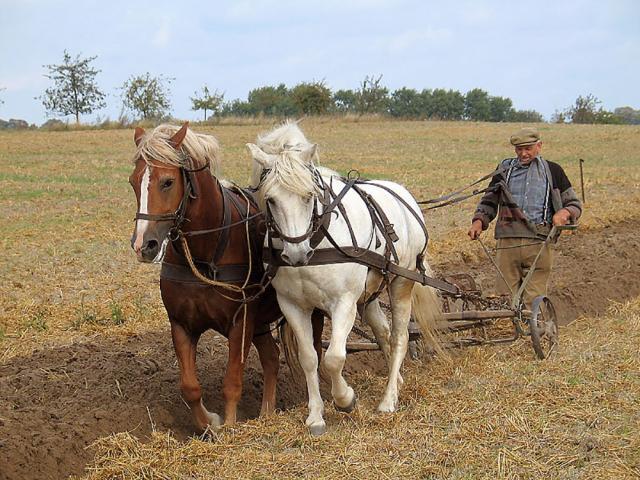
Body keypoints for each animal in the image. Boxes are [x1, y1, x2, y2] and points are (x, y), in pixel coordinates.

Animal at [127, 124, 320, 432]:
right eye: (134, 181)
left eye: (167, 182)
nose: (143, 245)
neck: (205, 254)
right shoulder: (181, 324)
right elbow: (189, 387)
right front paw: (210, 423)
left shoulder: (241, 322)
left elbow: (232, 381)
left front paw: (229, 427)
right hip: (261, 322)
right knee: (271, 357)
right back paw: (266, 413)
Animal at [245, 121, 440, 436]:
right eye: (271, 199)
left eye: (309, 196)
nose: (296, 253)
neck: (317, 241)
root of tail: (403, 194)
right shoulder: (293, 305)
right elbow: (310, 358)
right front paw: (315, 416)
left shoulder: (344, 303)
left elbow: (334, 358)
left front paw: (345, 399)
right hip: (370, 294)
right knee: (382, 331)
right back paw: (395, 380)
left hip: (401, 283)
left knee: (399, 336)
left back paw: (388, 400)